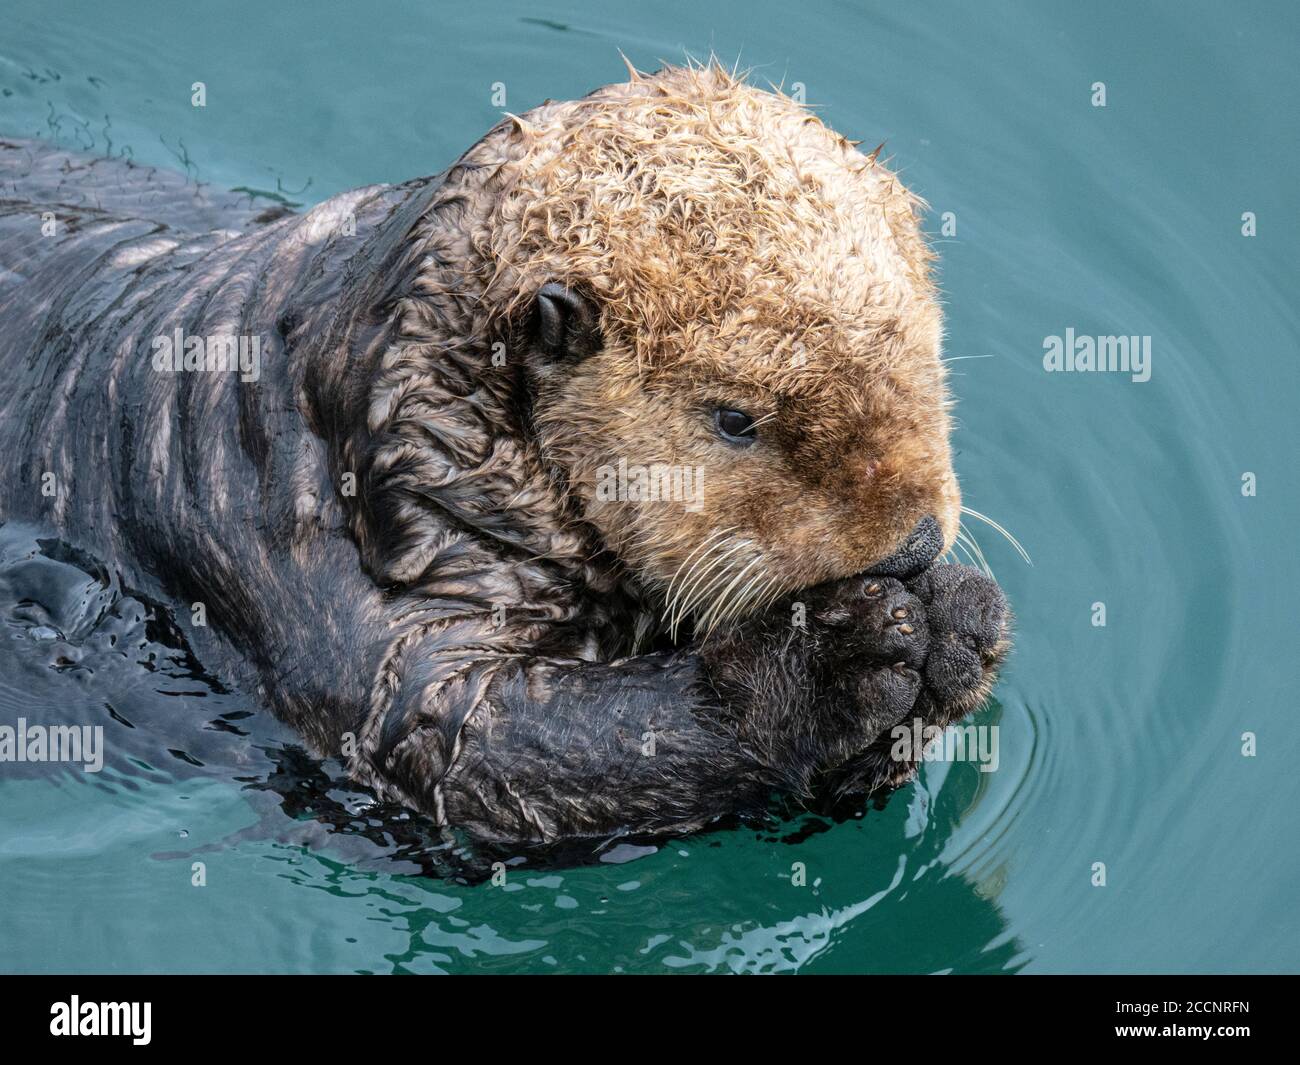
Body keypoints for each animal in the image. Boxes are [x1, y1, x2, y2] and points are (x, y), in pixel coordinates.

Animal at [0, 64, 1008, 847]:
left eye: (927, 355)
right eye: (733, 418)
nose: (913, 542)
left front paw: (962, 616)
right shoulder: (323, 567)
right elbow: (471, 739)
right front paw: (851, 648)